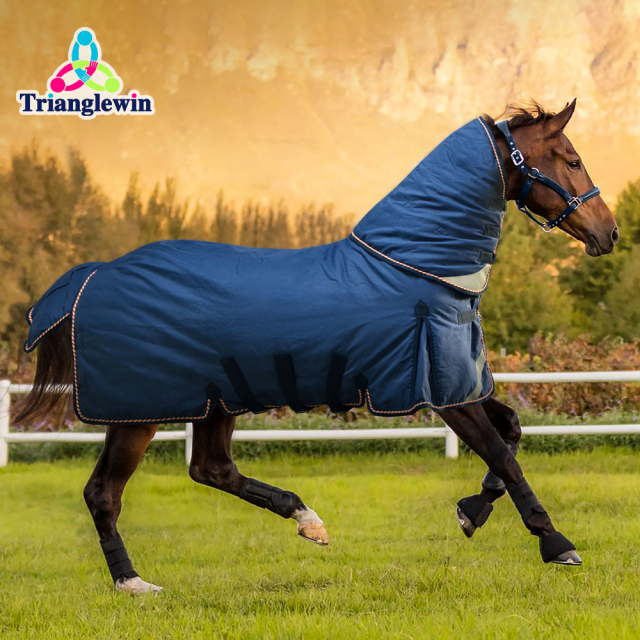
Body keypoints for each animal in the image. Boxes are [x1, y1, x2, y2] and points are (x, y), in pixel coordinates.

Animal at [15, 99, 618, 594]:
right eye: (570, 159)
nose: (608, 233)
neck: (417, 266)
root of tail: (94, 275)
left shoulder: (458, 380)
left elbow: (511, 433)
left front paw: (471, 512)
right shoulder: (444, 391)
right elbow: (503, 455)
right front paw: (557, 544)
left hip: (215, 401)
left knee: (210, 469)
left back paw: (307, 521)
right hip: (141, 412)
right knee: (104, 493)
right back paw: (133, 582)